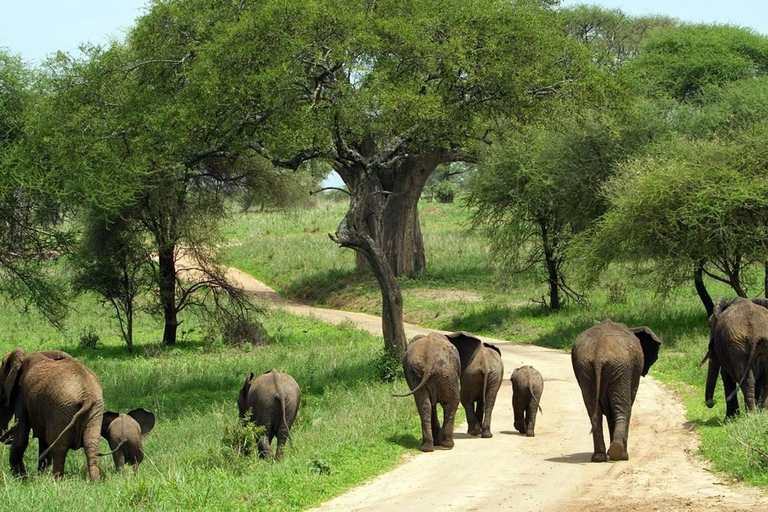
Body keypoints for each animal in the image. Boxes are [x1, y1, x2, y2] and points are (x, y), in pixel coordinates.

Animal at [0, 348, 103, 480]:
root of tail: (87, 396)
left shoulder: (21, 395)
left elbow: (21, 436)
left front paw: (22, 478)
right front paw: (37, 476)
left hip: (61, 408)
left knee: (59, 447)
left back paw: (56, 480)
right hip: (95, 411)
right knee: (91, 445)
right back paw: (94, 481)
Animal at [568, 318, 660, 462]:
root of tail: (599, 354)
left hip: (585, 368)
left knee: (594, 411)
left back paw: (600, 457)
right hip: (621, 367)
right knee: (623, 408)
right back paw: (621, 455)